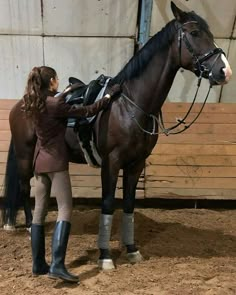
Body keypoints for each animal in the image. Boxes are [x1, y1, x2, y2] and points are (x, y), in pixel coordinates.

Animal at [1, 2, 231, 270]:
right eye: (194, 33)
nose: (225, 71)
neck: (128, 105)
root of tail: (23, 103)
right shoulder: (111, 163)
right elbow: (109, 203)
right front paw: (105, 256)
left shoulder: (136, 164)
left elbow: (129, 204)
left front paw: (132, 249)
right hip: (25, 154)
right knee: (23, 187)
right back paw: (28, 225)